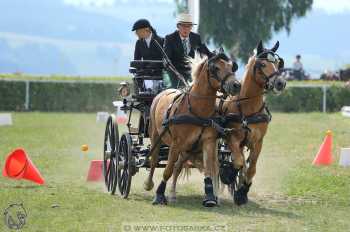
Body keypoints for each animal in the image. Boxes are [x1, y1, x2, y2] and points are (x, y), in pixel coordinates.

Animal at [144, 51, 241, 207]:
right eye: (215, 68)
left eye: (232, 66)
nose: (236, 85)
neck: (197, 111)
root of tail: (162, 93)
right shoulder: (176, 144)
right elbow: (167, 170)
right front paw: (159, 195)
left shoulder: (208, 141)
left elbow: (208, 169)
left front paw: (210, 197)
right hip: (156, 136)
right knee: (154, 161)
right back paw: (149, 184)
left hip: (188, 149)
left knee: (178, 166)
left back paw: (172, 194)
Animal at [221, 40, 288, 205]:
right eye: (262, 64)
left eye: (278, 63)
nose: (280, 83)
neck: (248, 107)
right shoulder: (233, 138)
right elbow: (238, 162)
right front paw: (228, 174)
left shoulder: (258, 141)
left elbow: (252, 168)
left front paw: (242, 192)